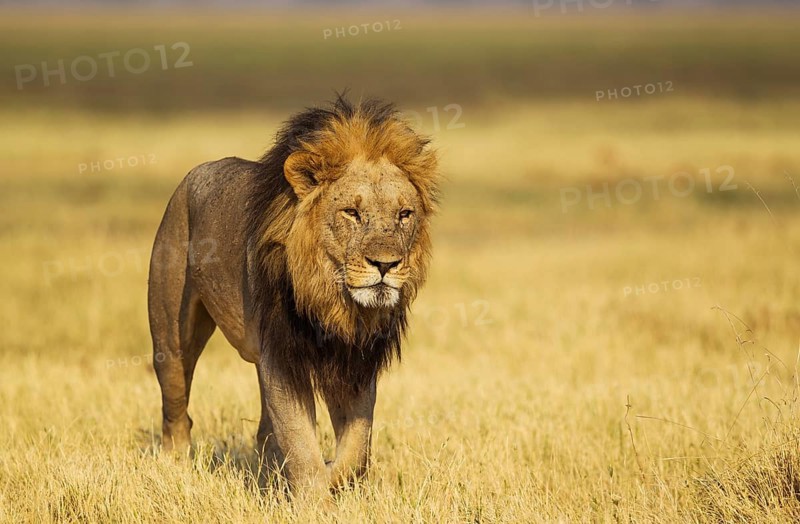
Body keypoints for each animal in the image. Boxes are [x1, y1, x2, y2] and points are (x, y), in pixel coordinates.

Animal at [147, 95, 439, 496]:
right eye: (351, 212)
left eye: (404, 214)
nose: (386, 264)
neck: (334, 302)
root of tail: (194, 174)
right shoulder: (283, 358)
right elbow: (301, 442)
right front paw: (314, 496)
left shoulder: (354, 361)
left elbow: (356, 450)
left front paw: (329, 477)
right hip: (170, 337)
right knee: (175, 408)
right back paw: (174, 465)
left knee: (264, 430)